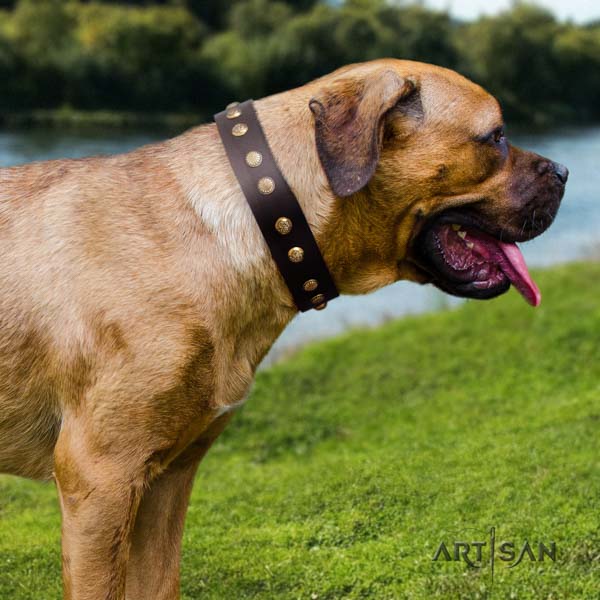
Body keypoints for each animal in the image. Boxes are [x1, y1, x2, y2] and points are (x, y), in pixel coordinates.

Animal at [0, 57, 568, 600]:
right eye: (495, 136)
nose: (564, 171)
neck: (255, 218)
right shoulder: (101, 479)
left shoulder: (166, 480)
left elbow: (160, 585)